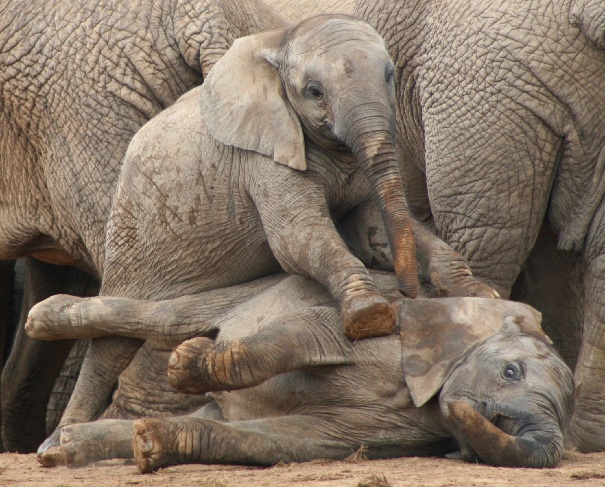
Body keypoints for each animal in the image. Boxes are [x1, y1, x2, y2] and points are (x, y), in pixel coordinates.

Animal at [27, 272, 576, 470]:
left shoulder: (399, 429)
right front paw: (185, 364)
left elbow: (292, 440)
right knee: (167, 316)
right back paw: (44, 317)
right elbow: (305, 332)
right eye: (510, 372)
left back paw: (61, 448)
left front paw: (151, 445)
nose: (468, 408)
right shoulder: (386, 323)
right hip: (256, 288)